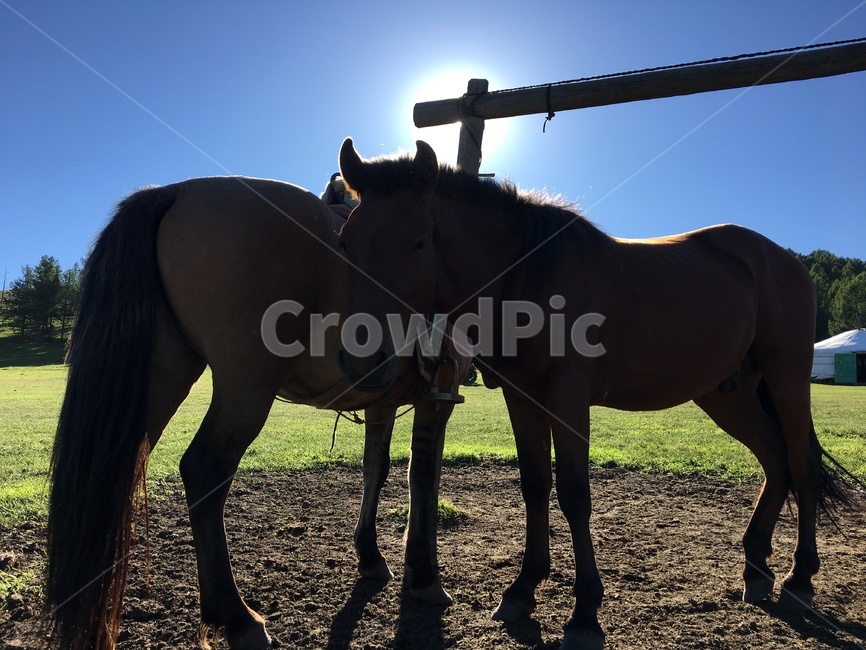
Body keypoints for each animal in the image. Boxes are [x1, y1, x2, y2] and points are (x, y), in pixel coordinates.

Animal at [46, 175, 468, 650]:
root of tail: (178, 190)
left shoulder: (382, 401)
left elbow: (374, 471)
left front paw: (371, 556)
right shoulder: (438, 395)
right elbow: (424, 478)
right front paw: (425, 577)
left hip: (160, 377)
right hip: (246, 390)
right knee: (204, 470)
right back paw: (236, 616)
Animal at [335, 138, 859, 650]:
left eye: (419, 242)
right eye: (343, 242)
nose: (364, 358)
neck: (527, 275)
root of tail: (779, 259)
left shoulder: (568, 399)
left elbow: (573, 494)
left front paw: (584, 612)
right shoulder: (522, 398)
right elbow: (534, 487)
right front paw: (522, 590)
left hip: (787, 376)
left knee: (801, 463)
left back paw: (800, 578)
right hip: (728, 394)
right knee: (775, 460)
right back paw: (756, 567)